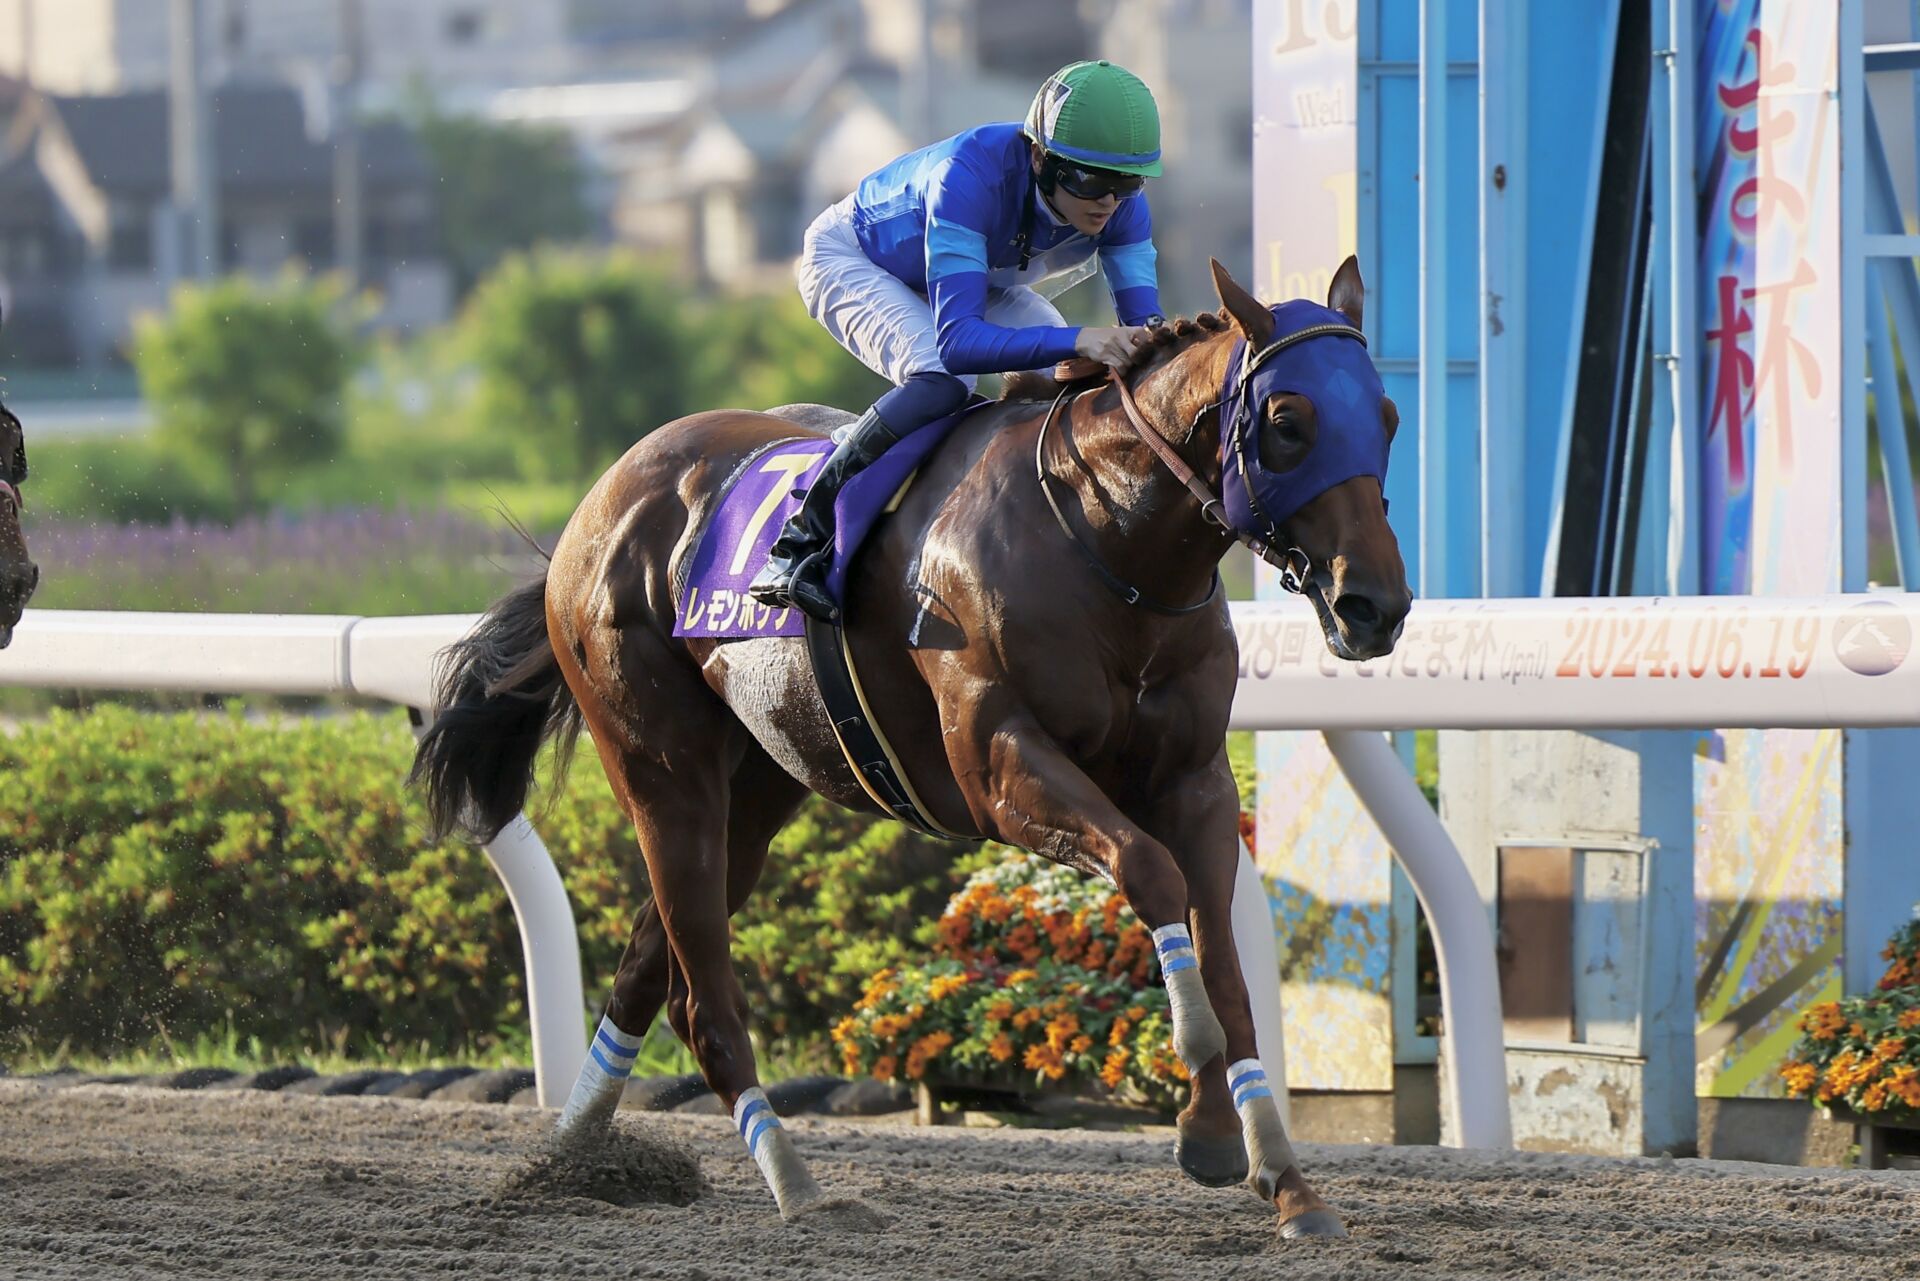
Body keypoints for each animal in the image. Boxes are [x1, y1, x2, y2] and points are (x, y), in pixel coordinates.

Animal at [413, 258, 1409, 1238]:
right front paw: (1200, 1094)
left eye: (1389, 417)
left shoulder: (1195, 780)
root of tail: (600, 498)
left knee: (647, 973)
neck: (1107, 540)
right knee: (703, 999)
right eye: (1287, 422)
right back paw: (800, 1190)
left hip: (759, 790)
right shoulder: (1000, 767)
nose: (1377, 605)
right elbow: (1148, 871)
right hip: (662, 768)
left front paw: (1276, 1173)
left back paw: (572, 1160)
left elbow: (1230, 975)